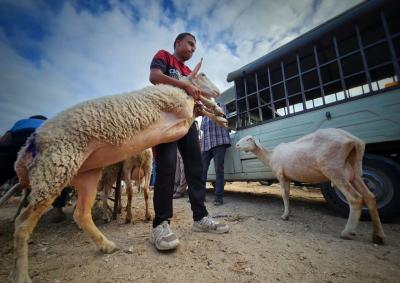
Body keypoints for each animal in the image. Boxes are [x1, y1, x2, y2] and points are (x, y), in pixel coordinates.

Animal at [236, 129, 386, 246]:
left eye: (249, 138)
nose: (237, 145)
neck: (270, 156)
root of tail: (354, 140)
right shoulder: (288, 176)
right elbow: (288, 194)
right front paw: (289, 213)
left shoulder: (281, 174)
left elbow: (284, 194)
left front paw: (285, 215)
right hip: (353, 171)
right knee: (370, 197)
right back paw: (378, 236)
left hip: (333, 169)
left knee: (355, 198)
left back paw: (347, 232)